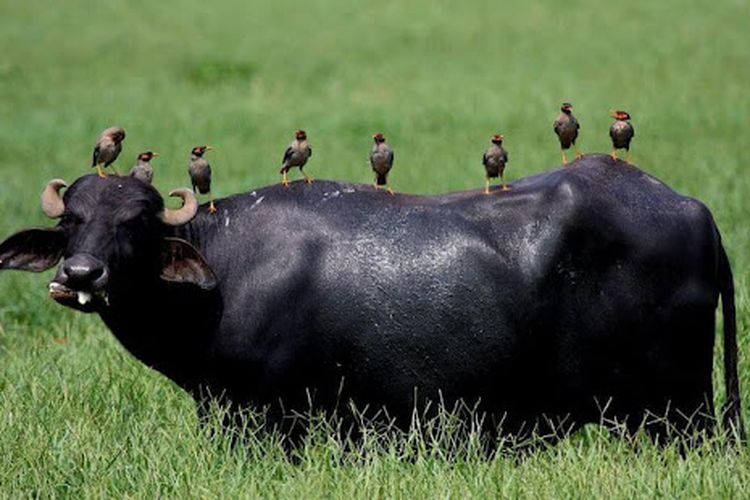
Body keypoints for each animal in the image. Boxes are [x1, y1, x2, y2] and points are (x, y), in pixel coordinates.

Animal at [0, 154, 740, 444]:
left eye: (136, 224)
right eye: (74, 221)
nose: (83, 273)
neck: (223, 276)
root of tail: (692, 209)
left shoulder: (265, 420)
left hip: (682, 414)